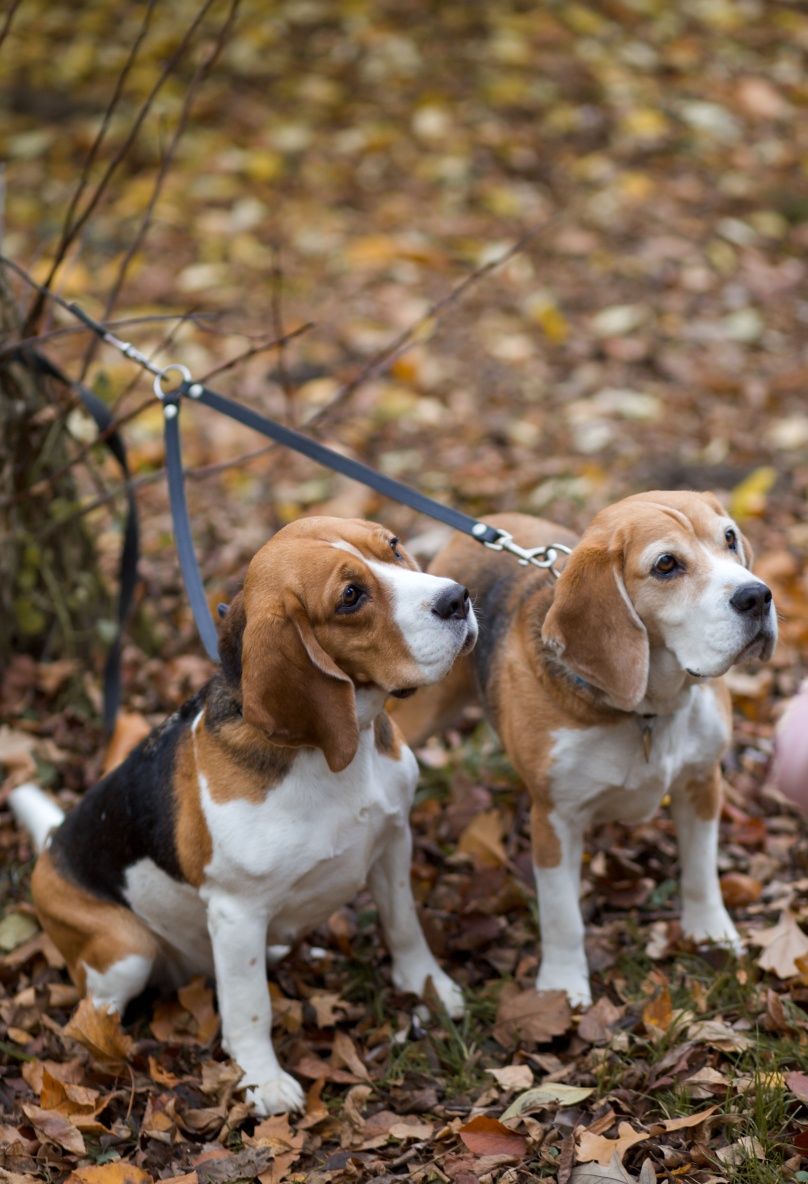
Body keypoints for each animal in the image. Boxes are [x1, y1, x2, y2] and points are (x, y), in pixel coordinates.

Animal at [9, 516, 476, 1108]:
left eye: (392, 546)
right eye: (350, 596)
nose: (458, 597)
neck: (332, 756)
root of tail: (52, 843)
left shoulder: (393, 842)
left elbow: (403, 923)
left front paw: (427, 986)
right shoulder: (237, 912)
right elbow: (250, 1005)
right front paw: (264, 1081)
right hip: (126, 951)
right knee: (93, 1008)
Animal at [395, 492, 772, 1008]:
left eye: (729, 538)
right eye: (666, 564)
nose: (758, 596)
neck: (647, 711)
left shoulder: (702, 782)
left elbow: (701, 873)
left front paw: (711, 932)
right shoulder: (555, 818)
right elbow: (562, 916)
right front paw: (561, 986)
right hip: (425, 709)